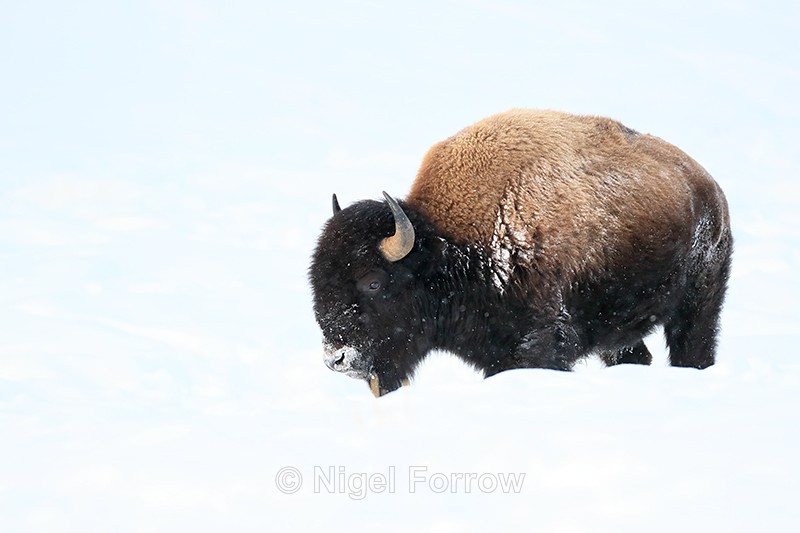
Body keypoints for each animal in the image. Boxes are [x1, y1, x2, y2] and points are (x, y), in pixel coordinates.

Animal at [310, 109, 732, 397]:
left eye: (373, 282)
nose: (336, 359)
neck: (446, 246)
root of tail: (709, 187)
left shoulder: (537, 348)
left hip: (699, 305)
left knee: (693, 347)